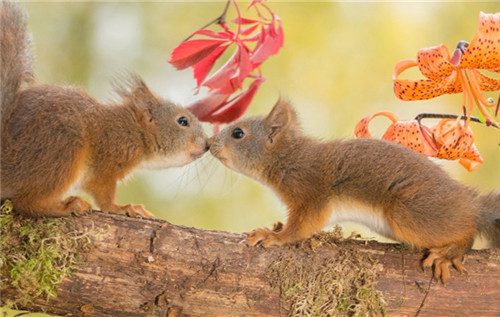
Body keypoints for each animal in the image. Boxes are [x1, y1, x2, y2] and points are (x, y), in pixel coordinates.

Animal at [0, 1, 208, 217]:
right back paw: (67, 206)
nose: (207, 144)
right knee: (25, 202)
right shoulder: (107, 163)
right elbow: (103, 194)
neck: (133, 131)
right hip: (63, 149)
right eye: (182, 121)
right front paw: (123, 208)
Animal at [209, 99, 500, 282]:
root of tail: (469, 202)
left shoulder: (310, 191)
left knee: (467, 231)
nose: (210, 143)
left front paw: (273, 236)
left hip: (410, 213)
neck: (288, 157)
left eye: (238, 133)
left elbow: (301, 226)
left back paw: (450, 252)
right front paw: (276, 226)